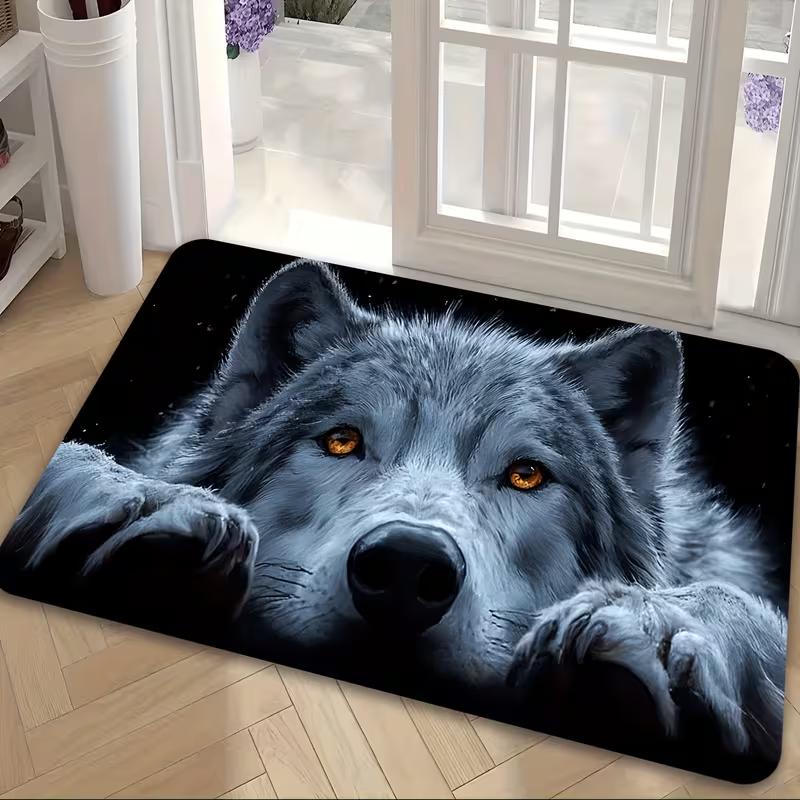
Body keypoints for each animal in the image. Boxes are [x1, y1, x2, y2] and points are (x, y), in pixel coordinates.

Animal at [0, 260, 790, 780]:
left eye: (526, 475)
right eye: (342, 441)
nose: (408, 566)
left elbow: (735, 607)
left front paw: (656, 625)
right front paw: (138, 499)